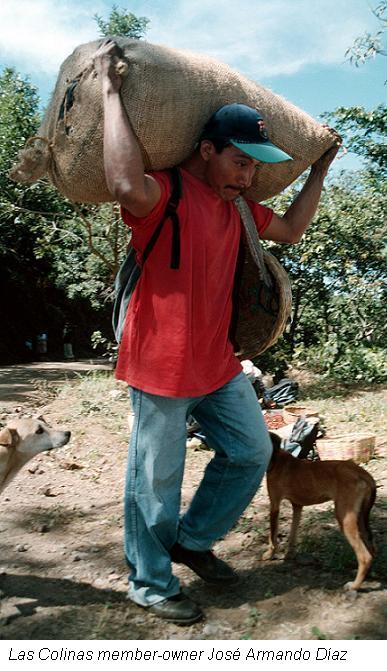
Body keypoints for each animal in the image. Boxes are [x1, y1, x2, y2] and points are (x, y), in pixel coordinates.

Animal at [266, 434, 378, 592]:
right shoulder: (297, 506)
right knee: (371, 549)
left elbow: (273, 536)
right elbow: (292, 534)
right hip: (361, 517)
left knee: (365, 556)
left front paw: (269, 554)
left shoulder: (274, 505)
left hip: (344, 517)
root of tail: (362, 473)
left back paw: (354, 585)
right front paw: (289, 554)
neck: (276, 458)